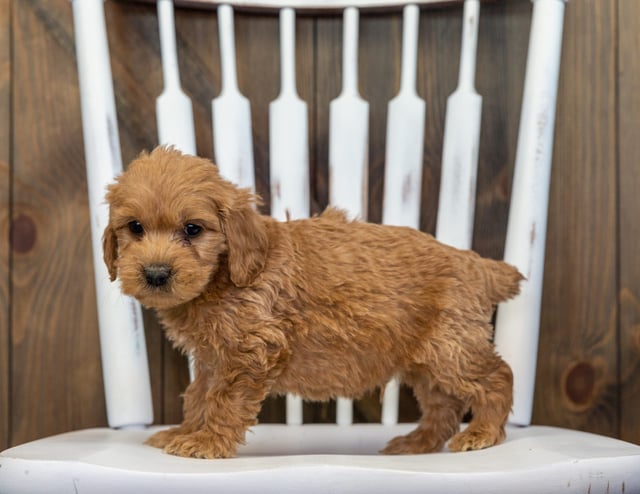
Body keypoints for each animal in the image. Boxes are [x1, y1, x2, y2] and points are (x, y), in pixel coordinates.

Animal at [102, 147, 524, 460]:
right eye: (135, 228)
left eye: (192, 229)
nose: (156, 274)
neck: (226, 274)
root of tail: (475, 262)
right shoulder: (213, 358)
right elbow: (198, 396)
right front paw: (186, 430)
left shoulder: (251, 351)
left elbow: (223, 400)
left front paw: (206, 443)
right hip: (425, 360)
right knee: (443, 405)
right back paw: (416, 443)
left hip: (453, 349)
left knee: (497, 377)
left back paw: (483, 432)